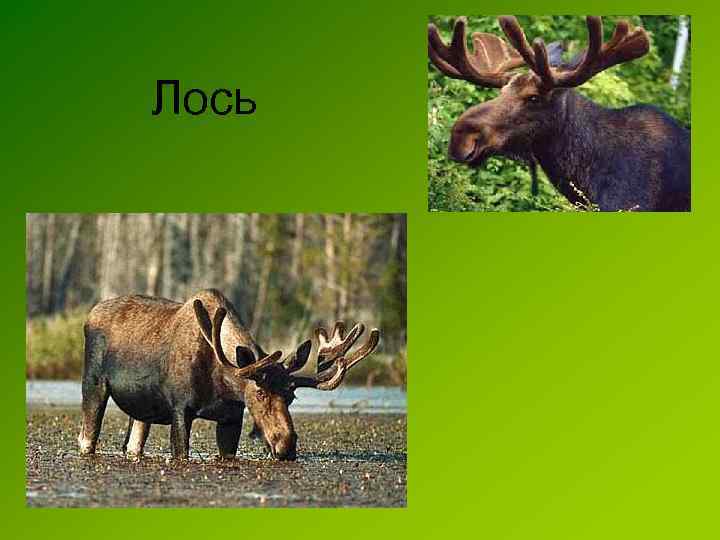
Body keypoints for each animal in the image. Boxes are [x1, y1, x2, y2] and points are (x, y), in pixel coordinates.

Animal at [77, 289, 379, 461]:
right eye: (260, 392)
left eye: (292, 397)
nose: (286, 446)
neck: (221, 384)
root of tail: (89, 314)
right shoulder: (180, 409)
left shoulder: (231, 417)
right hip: (93, 385)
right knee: (85, 438)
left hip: (142, 411)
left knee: (132, 445)